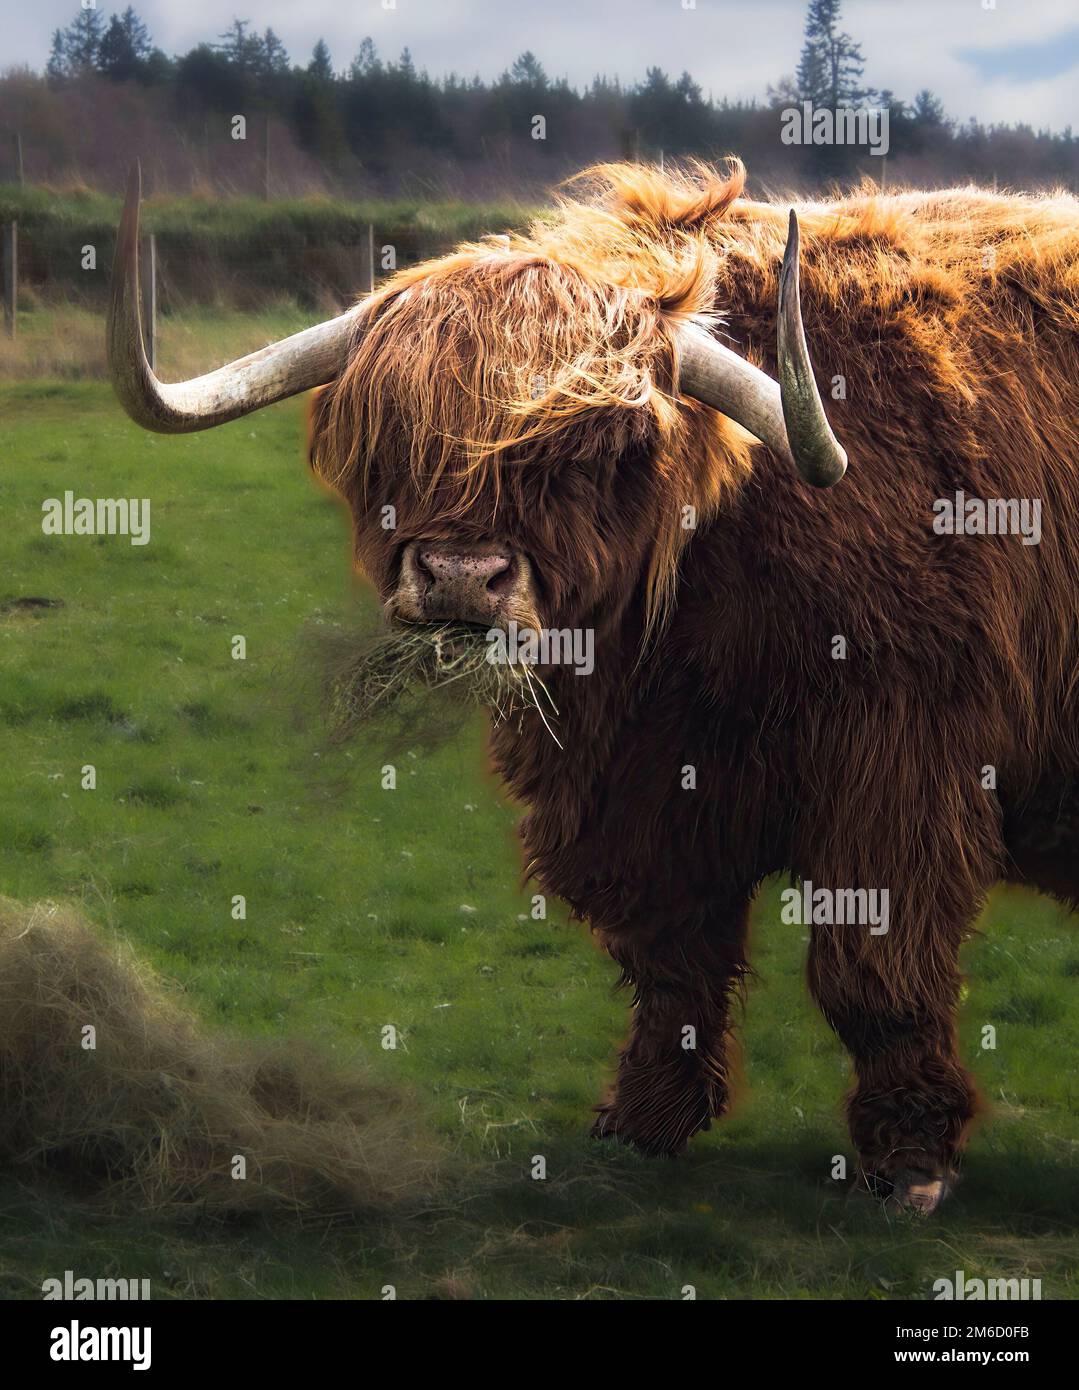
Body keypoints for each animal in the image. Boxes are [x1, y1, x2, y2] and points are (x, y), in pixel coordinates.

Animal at [109, 157, 1079, 1212]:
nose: (460, 579)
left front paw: (907, 1161)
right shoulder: (635, 784)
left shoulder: (899, 763)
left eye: (593, 455)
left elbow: (872, 968)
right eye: (397, 442)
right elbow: (669, 955)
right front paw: (643, 1123)